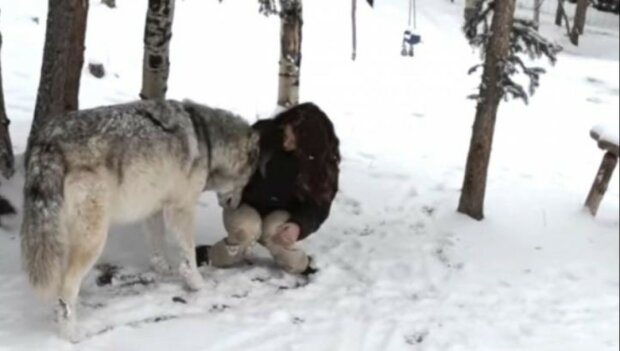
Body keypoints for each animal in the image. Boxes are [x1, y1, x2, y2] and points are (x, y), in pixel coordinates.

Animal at [20, 99, 260, 340]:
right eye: (248, 182)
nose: (236, 205)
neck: (208, 141)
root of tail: (49, 141)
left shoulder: (154, 209)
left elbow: (157, 248)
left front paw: (164, 270)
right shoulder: (181, 209)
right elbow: (188, 255)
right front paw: (197, 284)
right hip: (94, 238)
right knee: (66, 288)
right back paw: (72, 335)